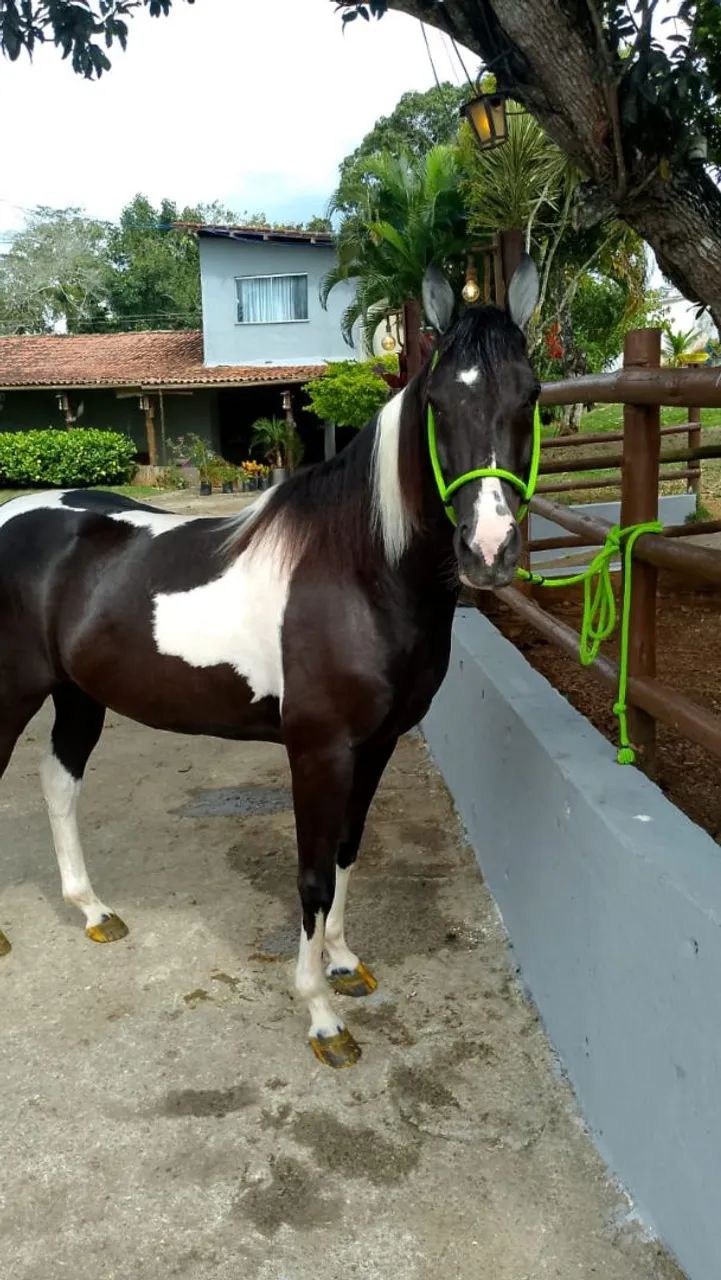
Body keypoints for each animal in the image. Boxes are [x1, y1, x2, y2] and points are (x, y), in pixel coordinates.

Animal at [0, 258, 540, 1068]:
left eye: (530, 396)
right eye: (438, 401)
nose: (489, 550)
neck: (357, 572)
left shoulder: (374, 746)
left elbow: (347, 852)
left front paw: (343, 963)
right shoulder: (318, 750)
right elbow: (312, 875)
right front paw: (320, 1014)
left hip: (77, 695)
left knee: (58, 784)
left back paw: (94, 910)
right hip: (11, 693)